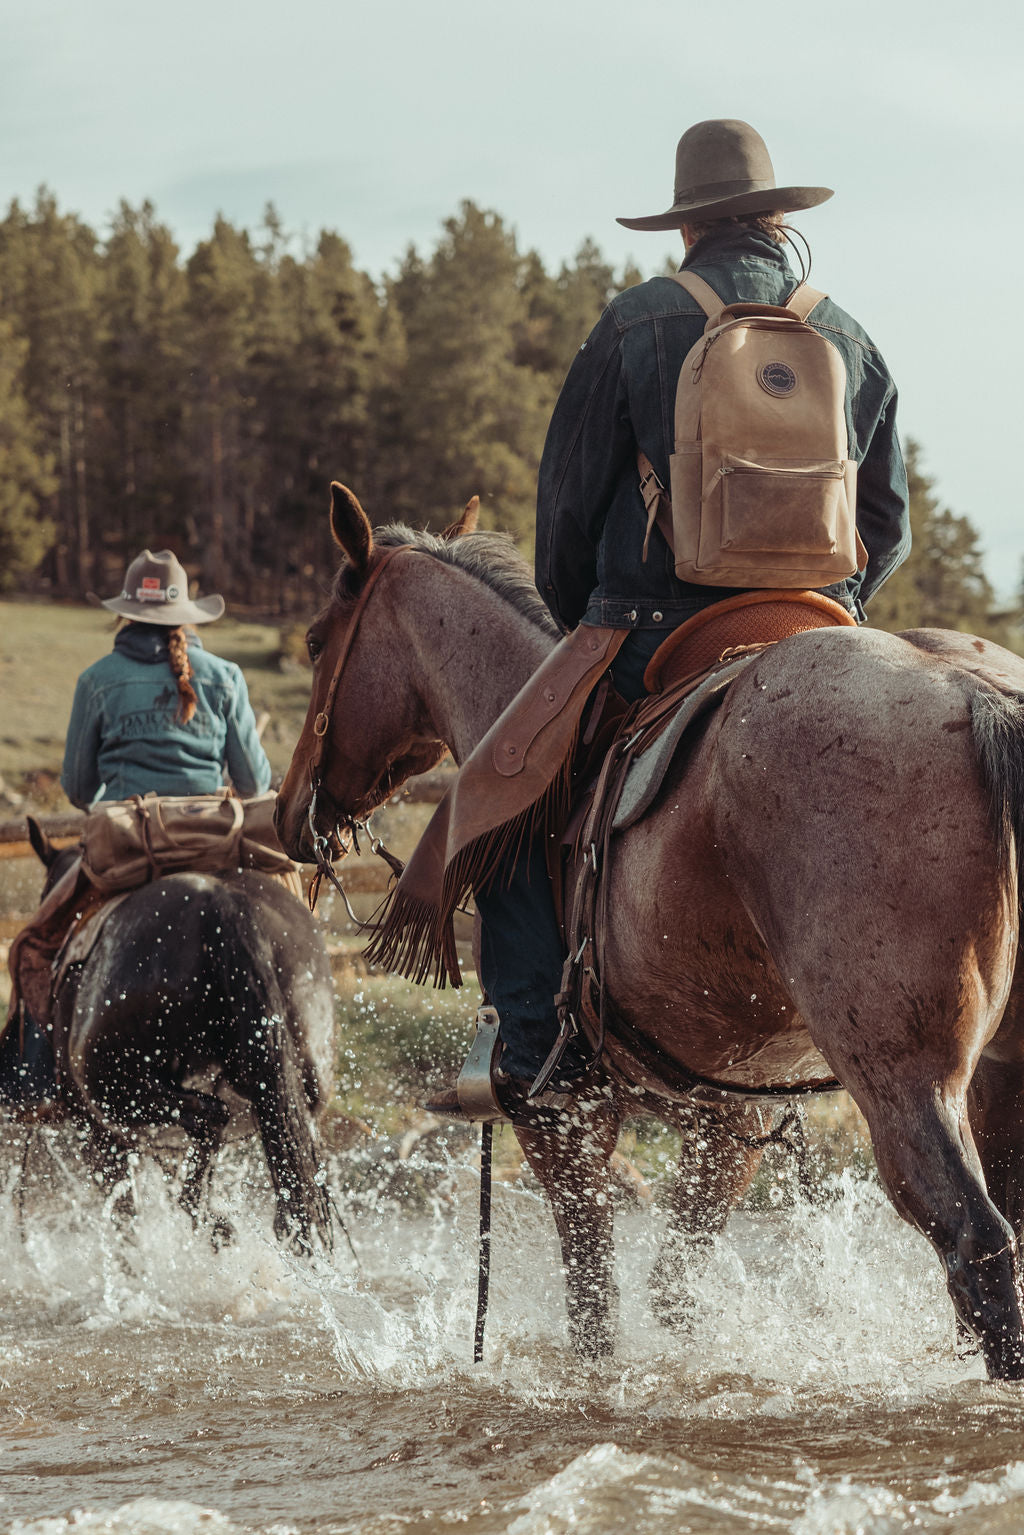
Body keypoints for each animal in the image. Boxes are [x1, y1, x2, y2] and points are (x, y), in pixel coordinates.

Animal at [11, 820, 336, 1251]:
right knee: (291, 1193)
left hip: (120, 1093)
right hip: (296, 1089)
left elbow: (123, 1221)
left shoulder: (98, 1134)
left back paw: (214, 1223)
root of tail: (223, 905)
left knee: (209, 1120)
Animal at [275, 482, 1024, 1377]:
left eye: (317, 640)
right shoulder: (726, 1117)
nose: (289, 812)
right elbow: (675, 1290)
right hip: (997, 1076)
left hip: (909, 1080)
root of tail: (974, 692)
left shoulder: (565, 1113)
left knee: (976, 1241)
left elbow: (595, 1300)